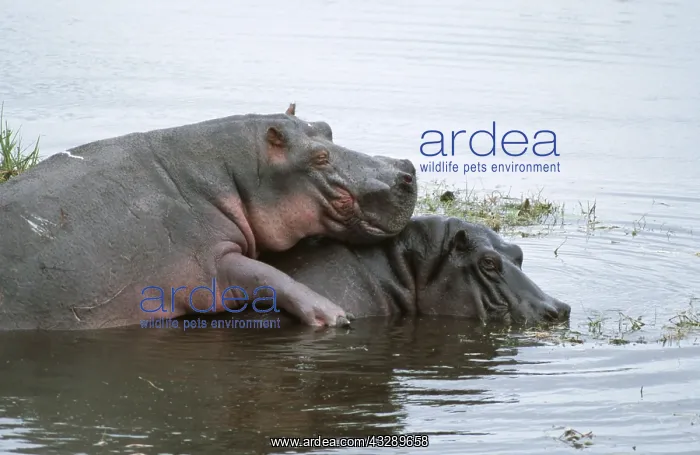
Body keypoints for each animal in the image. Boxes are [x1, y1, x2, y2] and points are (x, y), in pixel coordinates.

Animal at [0, 105, 417, 330]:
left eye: (326, 128)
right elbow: (269, 276)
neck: (234, 172)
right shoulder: (207, 260)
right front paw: (335, 316)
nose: (407, 169)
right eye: (318, 157)